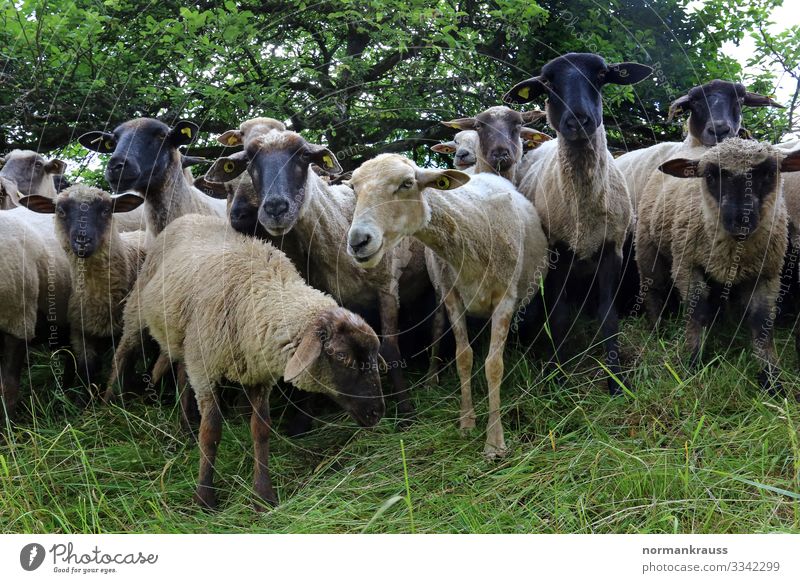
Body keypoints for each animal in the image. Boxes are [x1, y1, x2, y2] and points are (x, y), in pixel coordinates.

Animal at [105, 214, 384, 512]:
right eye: (342, 356)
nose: (376, 414)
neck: (259, 291)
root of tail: (188, 216)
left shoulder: (259, 375)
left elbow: (261, 430)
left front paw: (263, 495)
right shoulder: (206, 369)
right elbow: (211, 432)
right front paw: (204, 498)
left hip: (186, 337)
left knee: (181, 372)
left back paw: (185, 426)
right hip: (138, 309)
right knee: (123, 351)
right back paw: (108, 402)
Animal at [205, 121, 432, 422]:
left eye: (303, 155)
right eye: (250, 159)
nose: (275, 208)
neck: (339, 226)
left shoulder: (387, 287)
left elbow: (390, 349)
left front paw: (406, 413)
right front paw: (303, 418)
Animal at [348, 154, 552, 460]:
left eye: (406, 183)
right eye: (353, 188)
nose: (358, 241)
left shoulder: (504, 298)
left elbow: (494, 365)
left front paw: (495, 442)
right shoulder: (452, 296)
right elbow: (463, 357)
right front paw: (467, 422)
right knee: (437, 329)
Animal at [636, 137, 796, 392]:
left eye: (771, 172)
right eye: (710, 176)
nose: (741, 220)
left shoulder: (768, 273)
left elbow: (761, 323)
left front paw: (772, 380)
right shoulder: (687, 265)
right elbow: (697, 312)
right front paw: (693, 363)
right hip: (647, 247)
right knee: (654, 289)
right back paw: (657, 330)